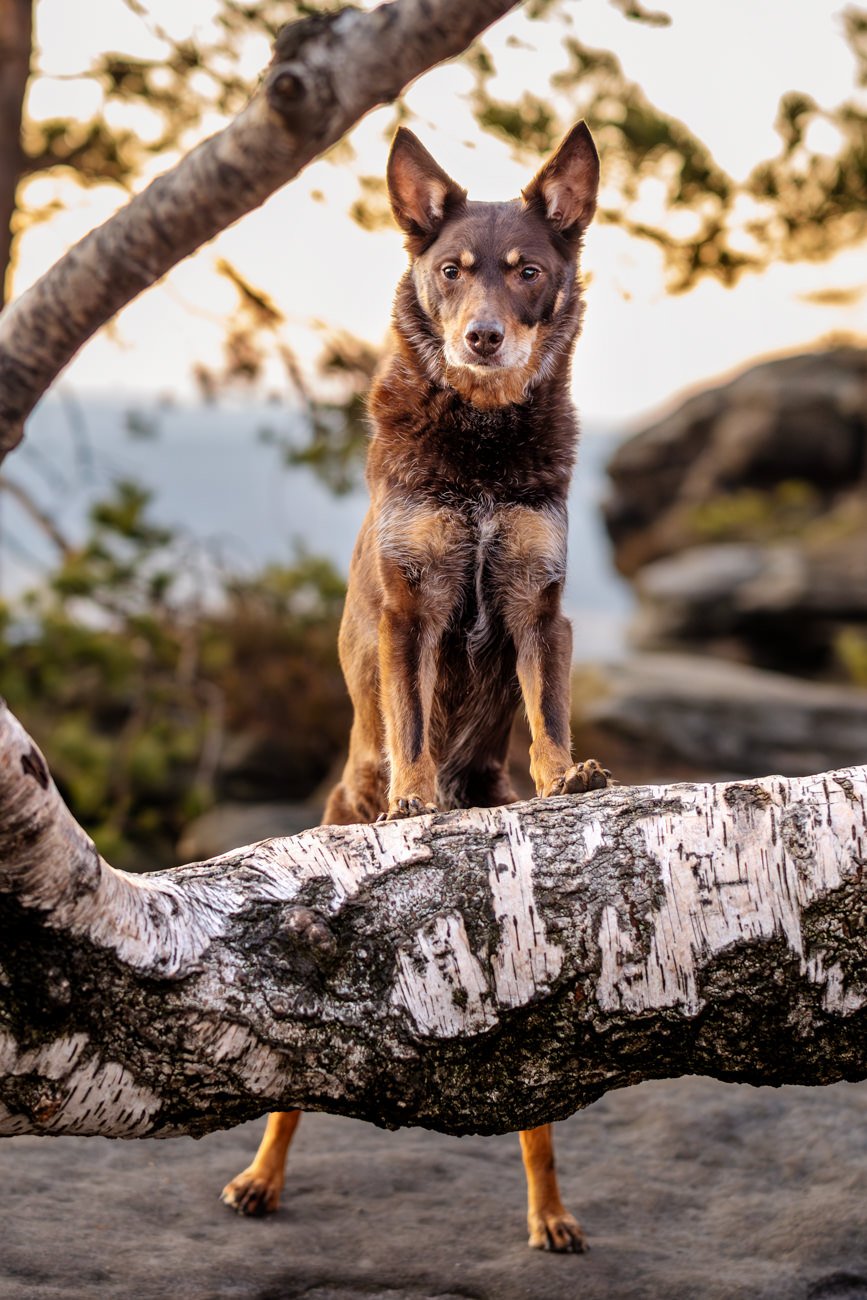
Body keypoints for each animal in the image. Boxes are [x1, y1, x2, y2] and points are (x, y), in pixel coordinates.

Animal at [220, 122, 608, 1248]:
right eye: (450, 271)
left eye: (526, 272)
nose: (482, 338)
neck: (480, 443)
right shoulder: (409, 613)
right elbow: (411, 725)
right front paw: (412, 800)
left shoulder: (539, 610)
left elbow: (550, 720)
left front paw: (569, 780)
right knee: (289, 1095)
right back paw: (259, 1179)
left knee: (535, 1118)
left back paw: (550, 1214)